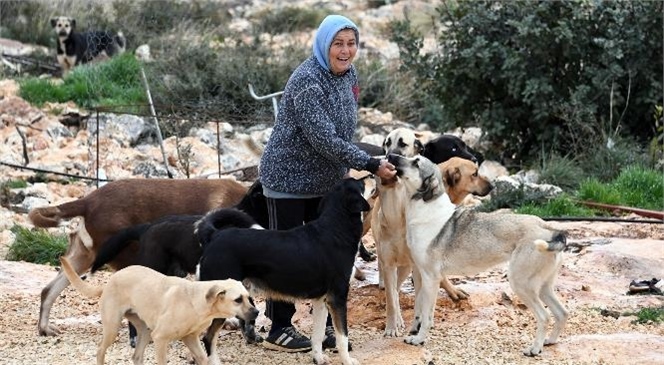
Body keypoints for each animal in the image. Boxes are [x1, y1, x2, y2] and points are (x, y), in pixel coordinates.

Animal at [59, 256, 256, 364]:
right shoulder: (160, 338)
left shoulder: (190, 338)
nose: (256, 313)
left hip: (145, 331)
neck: (196, 300)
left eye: (249, 297)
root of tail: (111, 279)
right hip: (113, 327)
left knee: (136, 356)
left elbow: (204, 359)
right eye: (238, 300)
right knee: (100, 351)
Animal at [197, 178, 374, 364]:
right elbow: (342, 336)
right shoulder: (337, 298)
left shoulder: (321, 300)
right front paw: (347, 360)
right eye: (361, 184)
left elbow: (318, 335)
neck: (336, 230)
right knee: (207, 338)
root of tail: (214, 236)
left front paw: (318, 358)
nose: (371, 176)